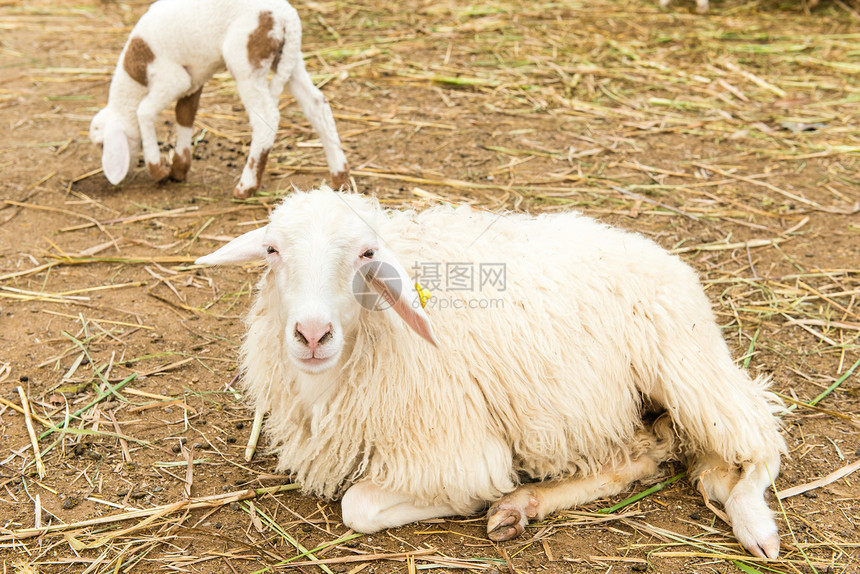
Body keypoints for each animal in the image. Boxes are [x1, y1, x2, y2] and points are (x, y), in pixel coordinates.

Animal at [90, 0, 350, 200]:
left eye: (102, 145)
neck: (134, 75)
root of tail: (286, 15)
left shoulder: (173, 79)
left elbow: (143, 111)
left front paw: (158, 171)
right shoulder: (194, 80)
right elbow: (185, 113)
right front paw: (179, 169)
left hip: (247, 60)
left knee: (266, 117)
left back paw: (246, 186)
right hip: (288, 57)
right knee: (317, 104)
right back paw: (340, 177)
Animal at [198, 190, 788, 564]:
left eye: (366, 254)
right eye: (273, 249)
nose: (313, 334)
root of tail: (668, 257)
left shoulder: (461, 447)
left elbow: (360, 506)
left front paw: (473, 500)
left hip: (690, 371)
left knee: (760, 444)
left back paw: (756, 526)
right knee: (643, 455)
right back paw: (522, 507)